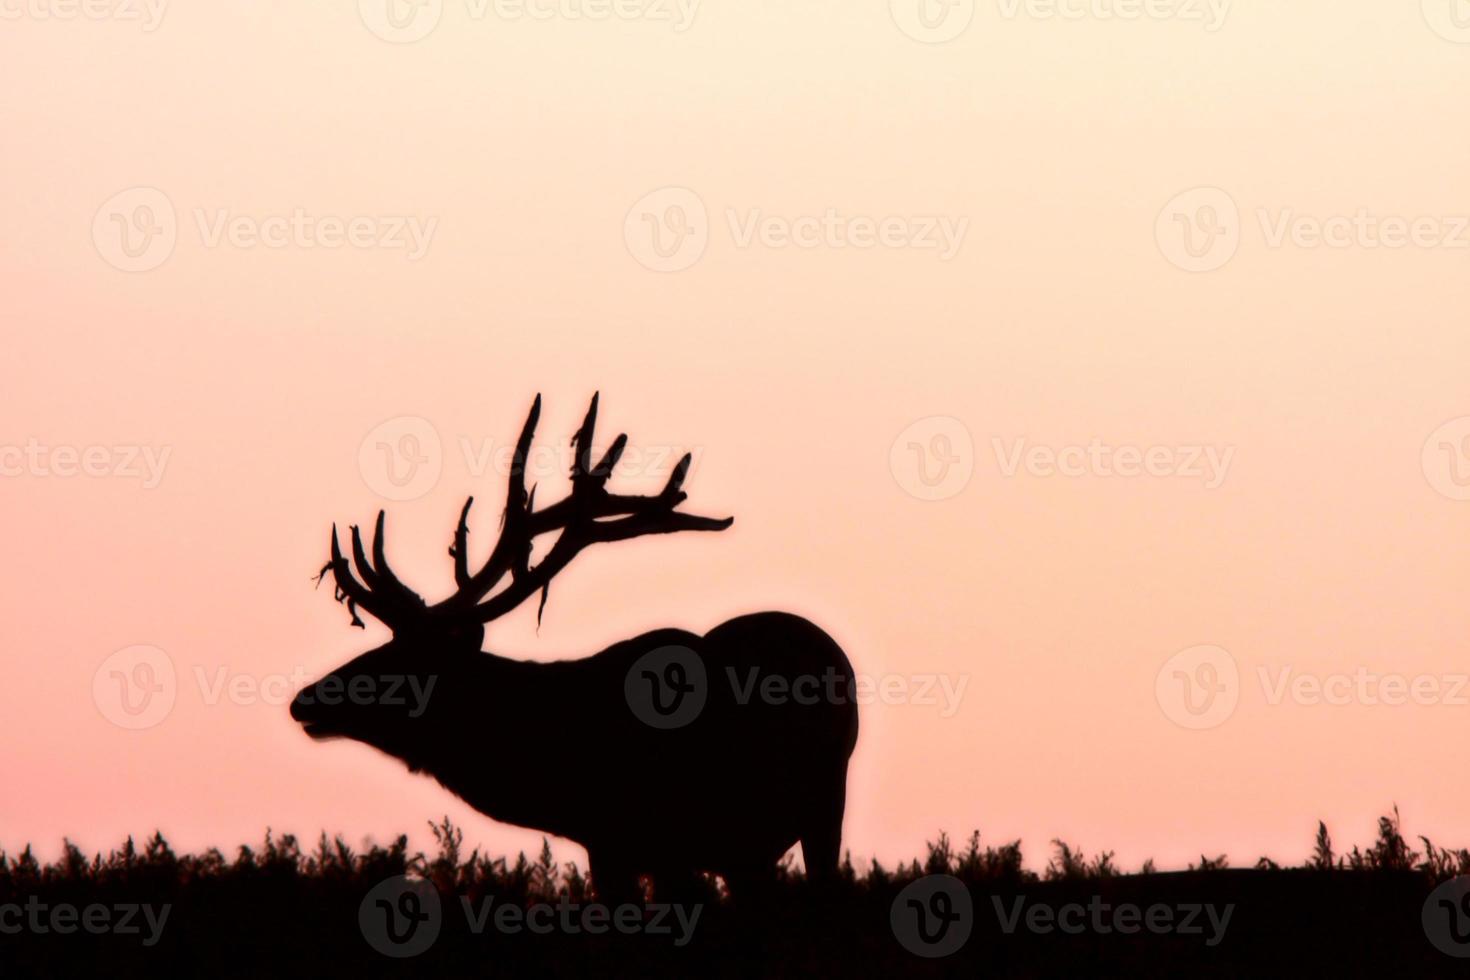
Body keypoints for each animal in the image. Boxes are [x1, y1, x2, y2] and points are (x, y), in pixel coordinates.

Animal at [289, 393, 858, 899]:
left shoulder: (665, 842)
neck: (567, 770)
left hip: (824, 803)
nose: (303, 700)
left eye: (403, 661)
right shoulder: (611, 848)